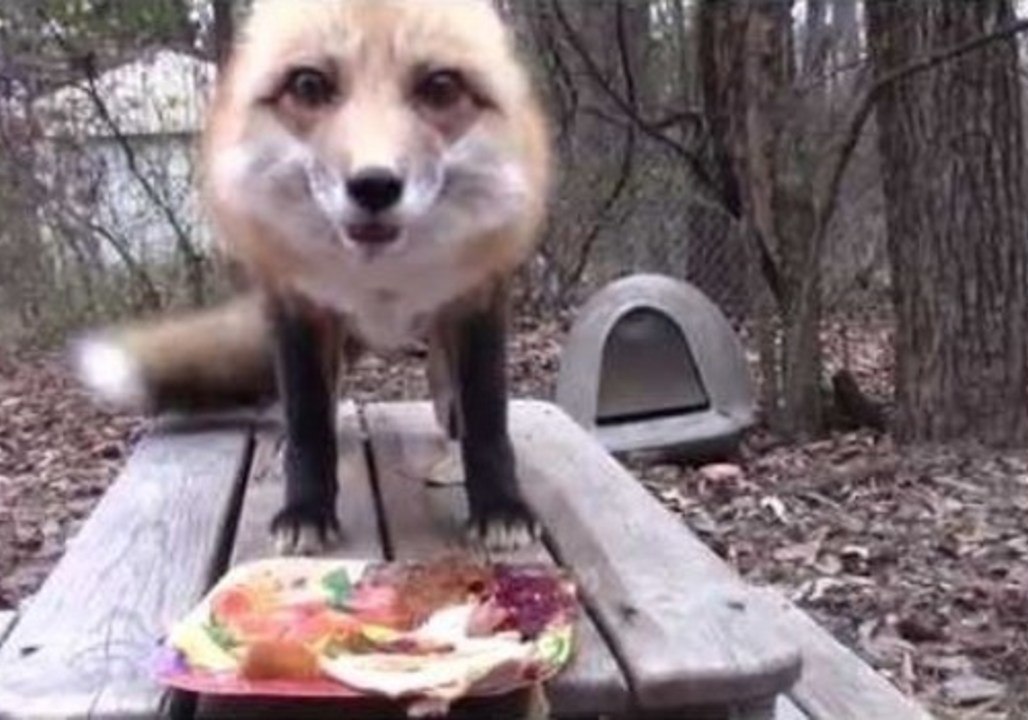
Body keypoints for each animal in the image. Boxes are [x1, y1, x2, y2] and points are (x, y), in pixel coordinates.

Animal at [72, 0, 552, 555]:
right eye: (308, 85)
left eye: (439, 87)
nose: (374, 185)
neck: (383, 279)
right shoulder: (298, 306)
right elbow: (308, 424)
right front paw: (305, 509)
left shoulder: (479, 296)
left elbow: (487, 419)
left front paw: (499, 505)